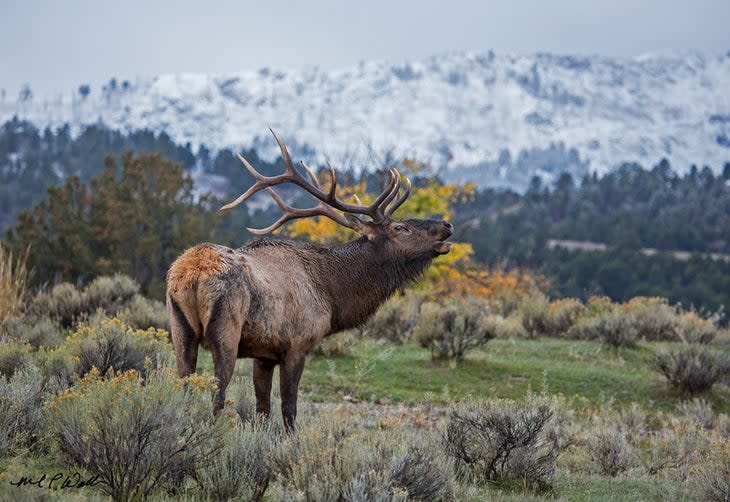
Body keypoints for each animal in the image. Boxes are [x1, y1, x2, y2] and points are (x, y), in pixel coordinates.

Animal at [166, 129, 450, 428]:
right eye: (400, 227)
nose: (447, 225)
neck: (332, 295)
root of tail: (192, 272)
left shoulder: (264, 353)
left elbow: (262, 408)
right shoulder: (298, 344)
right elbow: (289, 408)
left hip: (180, 329)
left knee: (185, 386)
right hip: (226, 328)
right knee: (217, 393)